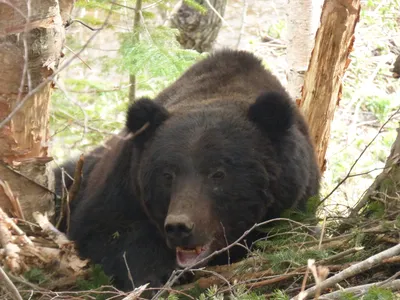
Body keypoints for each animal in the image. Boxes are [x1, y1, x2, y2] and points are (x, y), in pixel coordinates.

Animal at [54, 48, 320, 290]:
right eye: (167, 175)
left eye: (218, 173)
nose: (179, 227)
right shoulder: (121, 186)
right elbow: (107, 233)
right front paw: (155, 274)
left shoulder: (294, 197)